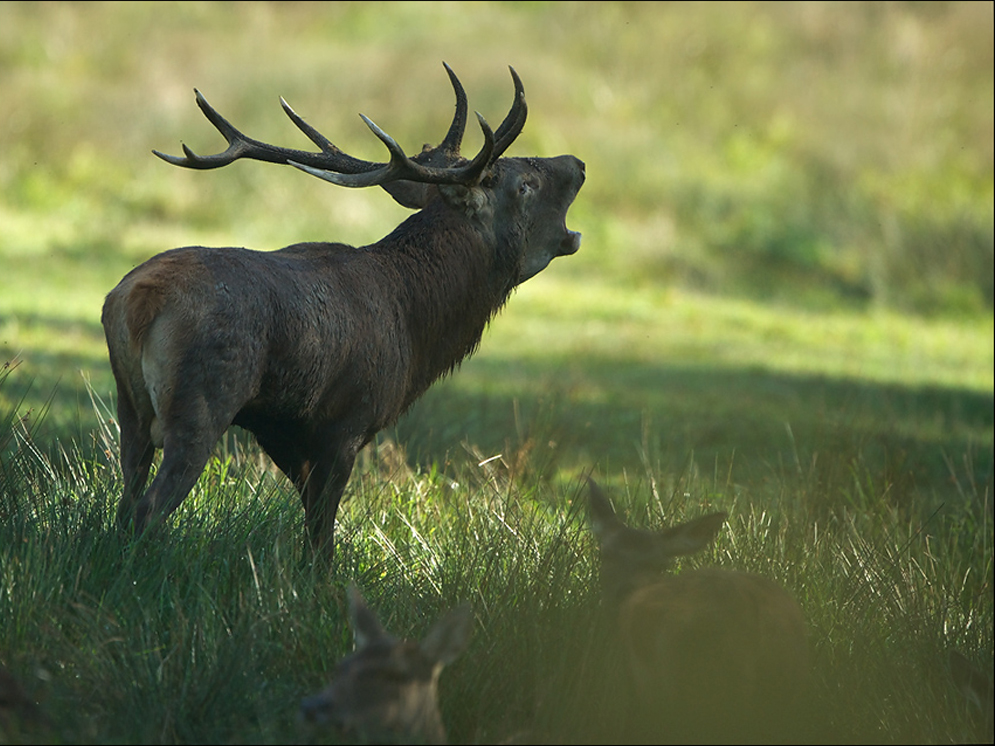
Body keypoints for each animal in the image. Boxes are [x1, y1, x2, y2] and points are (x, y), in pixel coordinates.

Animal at [102, 63, 585, 557]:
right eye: (524, 184)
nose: (578, 164)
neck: (414, 330)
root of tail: (136, 300)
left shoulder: (285, 435)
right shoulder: (345, 424)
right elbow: (322, 543)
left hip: (130, 407)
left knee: (124, 501)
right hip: (202, 398)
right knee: (147, 509)